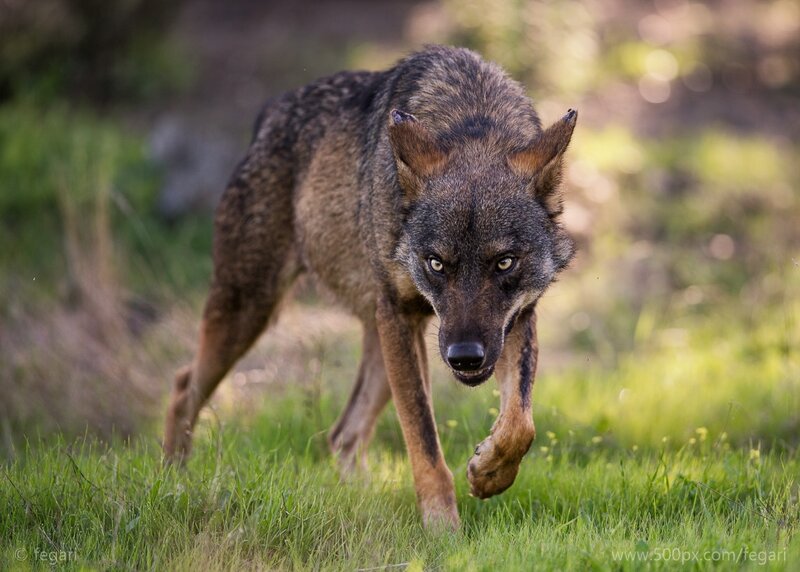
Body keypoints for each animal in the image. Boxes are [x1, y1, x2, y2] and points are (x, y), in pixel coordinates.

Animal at [163, 45, 577, 529]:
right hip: (251, 310)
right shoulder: (400, 316)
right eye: (436, 263)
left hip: (379, 347)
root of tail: (270, 113)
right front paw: (443, 531)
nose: (465, 357)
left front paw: (488, 473)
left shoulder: (518, 318)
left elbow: (520, 423)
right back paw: (173, 482)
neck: (470, 115)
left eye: (504, 262)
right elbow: (424, 441)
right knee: (183, 387)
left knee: (343, 434)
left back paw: (362, 501)